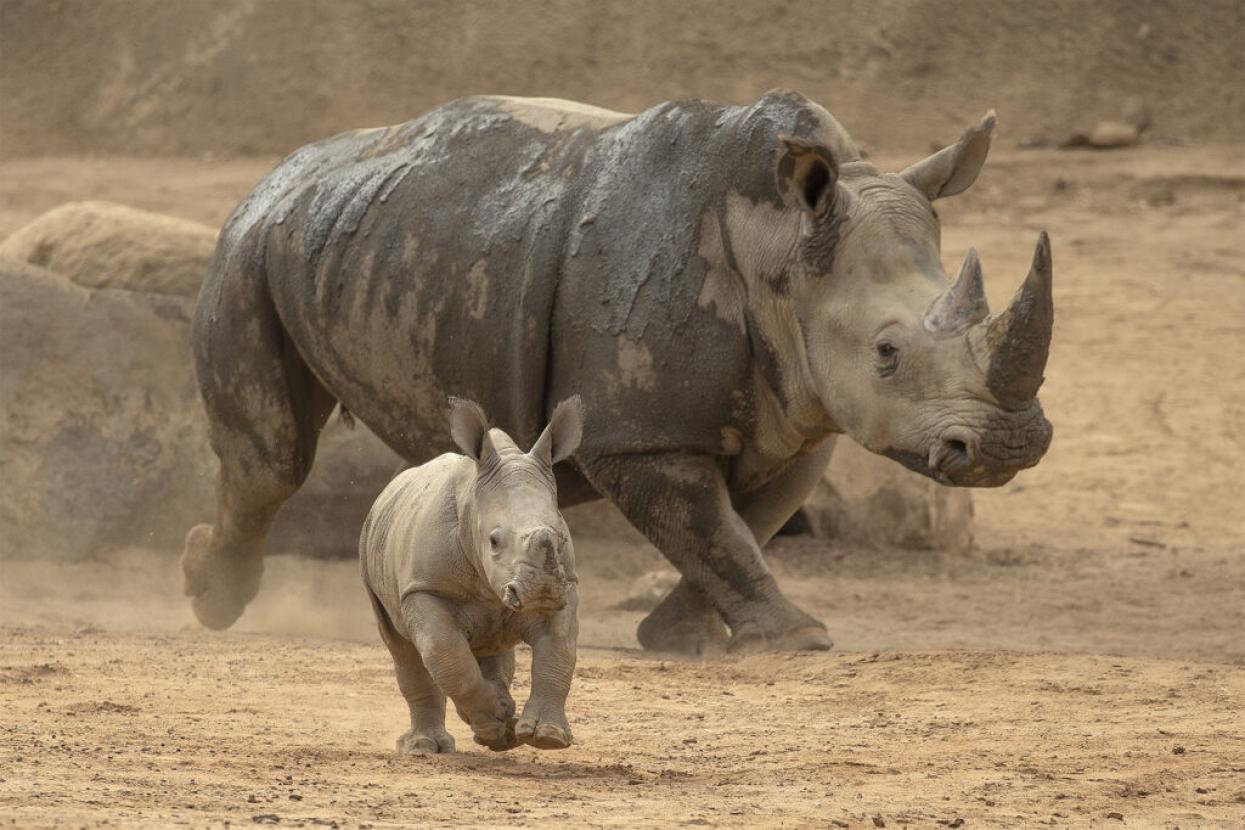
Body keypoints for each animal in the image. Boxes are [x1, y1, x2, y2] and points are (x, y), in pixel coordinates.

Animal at [181, 90, 1054, 653]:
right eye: (886, 352)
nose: (1008, 446)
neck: (778, 246)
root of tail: (286, 171)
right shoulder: (640, 433)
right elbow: (710, 527)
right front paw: (800, 641)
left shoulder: (804, 414)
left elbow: (744, 525)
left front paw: (679, 639)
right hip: (250, 246)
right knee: (273, 457)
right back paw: (210, 600)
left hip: (369, 245)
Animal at [360, 397, 583, 753]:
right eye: (493, 541)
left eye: (561, 538)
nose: (541, 591)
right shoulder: (424, 588)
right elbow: (445, 652)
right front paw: (494, 716)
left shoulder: (567, 585)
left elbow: (559, 650)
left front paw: (547, 736)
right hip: (373, 553)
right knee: (402, 647)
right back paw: (426, 747)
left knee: (493, 648)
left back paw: (502, 732)